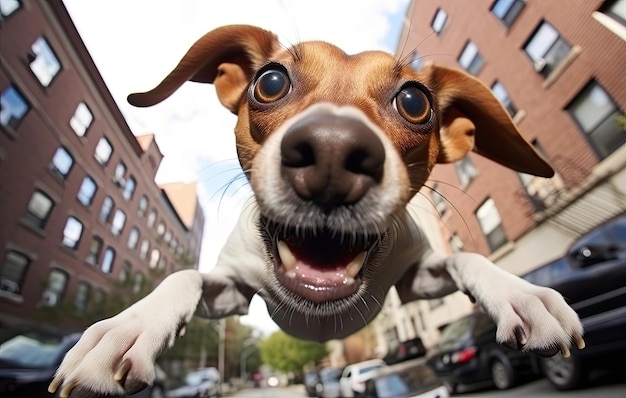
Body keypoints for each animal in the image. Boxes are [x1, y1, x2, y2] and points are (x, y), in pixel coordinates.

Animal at [47, 25, 580, 398]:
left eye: (414, 101)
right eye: (270, 81)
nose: (331, 152)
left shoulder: (417, 281)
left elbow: (466, 257)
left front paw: (520, 295)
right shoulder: (229, 292)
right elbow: (185, 276)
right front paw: (129, 327)